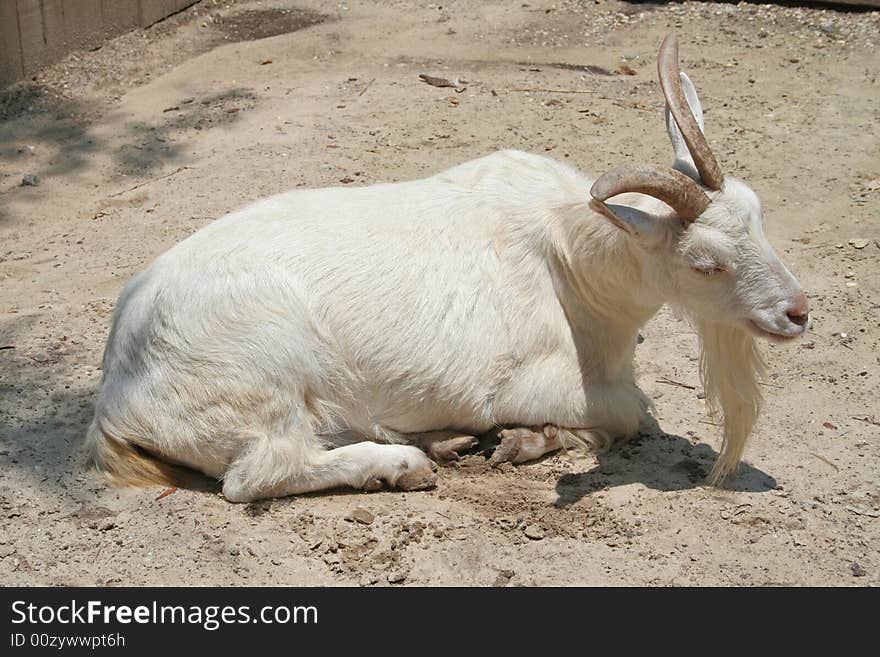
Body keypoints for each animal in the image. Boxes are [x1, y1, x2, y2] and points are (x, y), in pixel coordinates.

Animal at [86, 33, 808, 500]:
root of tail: (117, 388)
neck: (573, 261)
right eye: (705, 262)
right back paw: (401, 463)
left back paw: (441, 443)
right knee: (257, 473)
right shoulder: (526, 382)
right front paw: (529, 440)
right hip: (261, 376)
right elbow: (635, 412)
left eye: (759, 214)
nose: (796, 312)